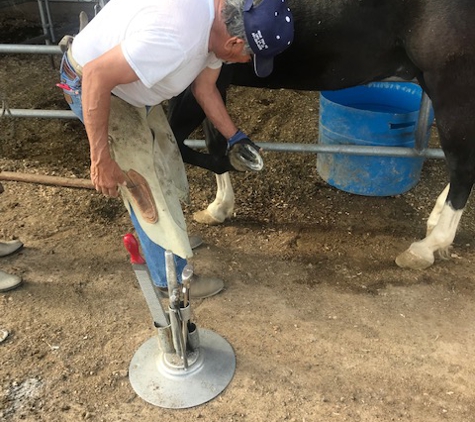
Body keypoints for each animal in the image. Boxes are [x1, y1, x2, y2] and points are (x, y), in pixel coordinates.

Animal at [167, 0, 475, 270]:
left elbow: (176, 145)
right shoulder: (209, 82)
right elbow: (212, 140)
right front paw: (219, 207)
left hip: (450, 85)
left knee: (462, 167)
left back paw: (427, 247)